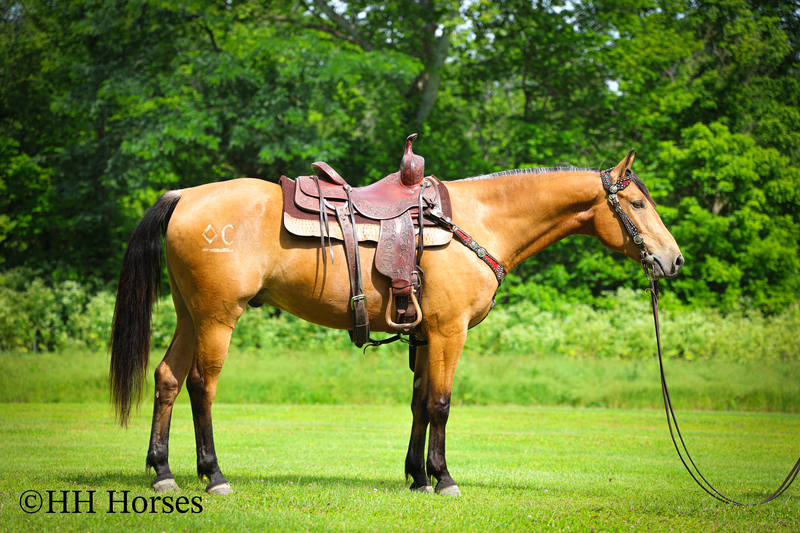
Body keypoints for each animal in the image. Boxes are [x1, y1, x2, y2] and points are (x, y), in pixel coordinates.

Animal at [110, 150, 683, 496]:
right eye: (636, 202)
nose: (673, 260)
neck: (476, 222)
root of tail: (185, 195)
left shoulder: (426, 334)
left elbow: (419, 403)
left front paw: (417, 477)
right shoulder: (450, 332)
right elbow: (441, 404)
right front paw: (444, 478)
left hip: (190, 314)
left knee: (167, 378)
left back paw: (163, 472)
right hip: (216, 317)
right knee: (201, 385)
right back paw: (213, 475)